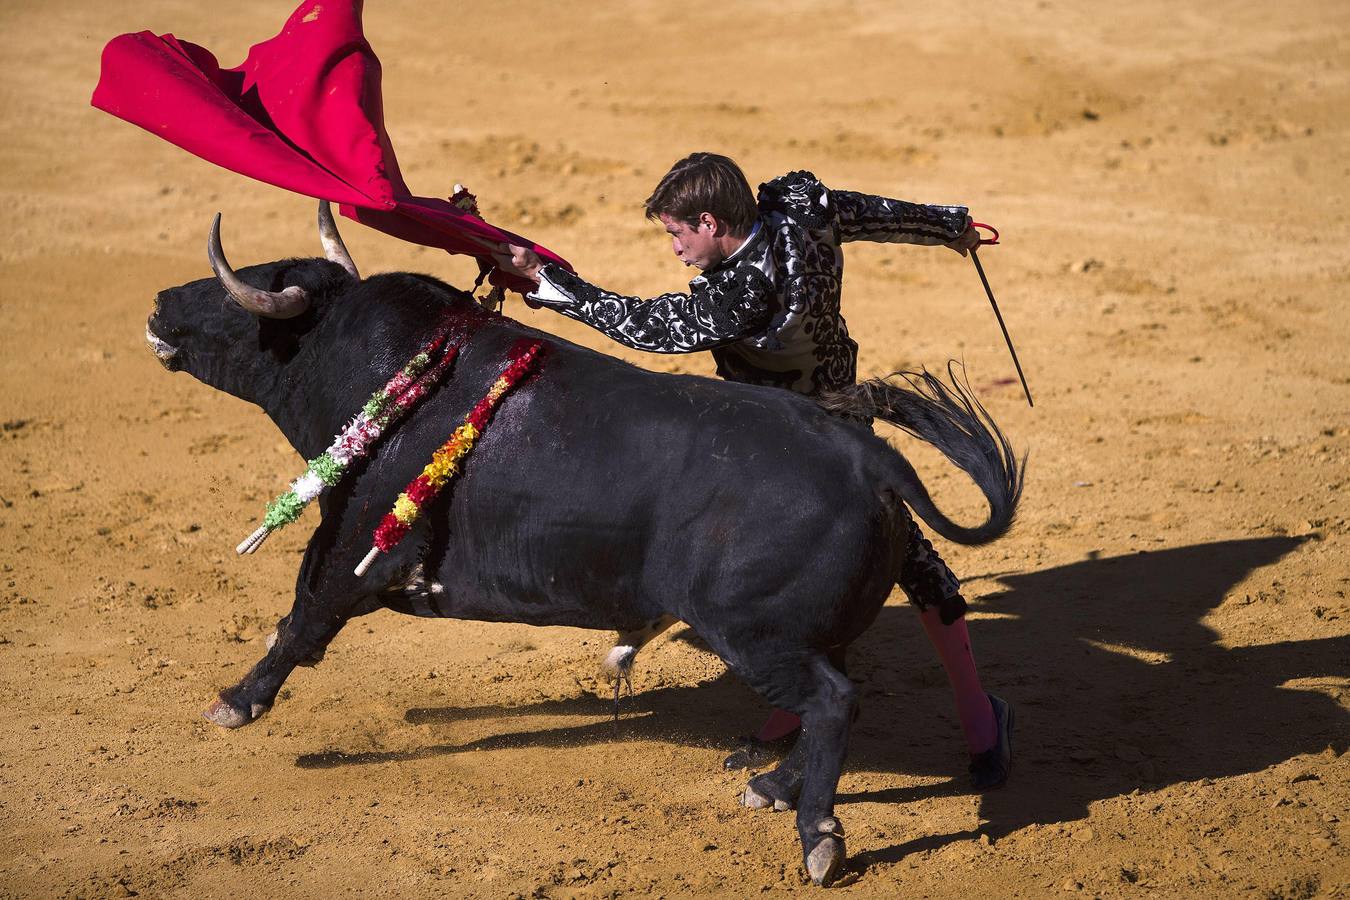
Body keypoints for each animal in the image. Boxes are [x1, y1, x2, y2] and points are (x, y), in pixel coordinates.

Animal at [142, 223, 1015, 885]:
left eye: (250, 287)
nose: (159, 302)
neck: (385, 371)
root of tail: (869, 458)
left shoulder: (354, 542)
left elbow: (301, 618)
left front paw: (235, 702)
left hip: (754, 633)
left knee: (832, 701)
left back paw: (818, 838)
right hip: (799, 633)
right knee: (837, 692)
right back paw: (772, 784)